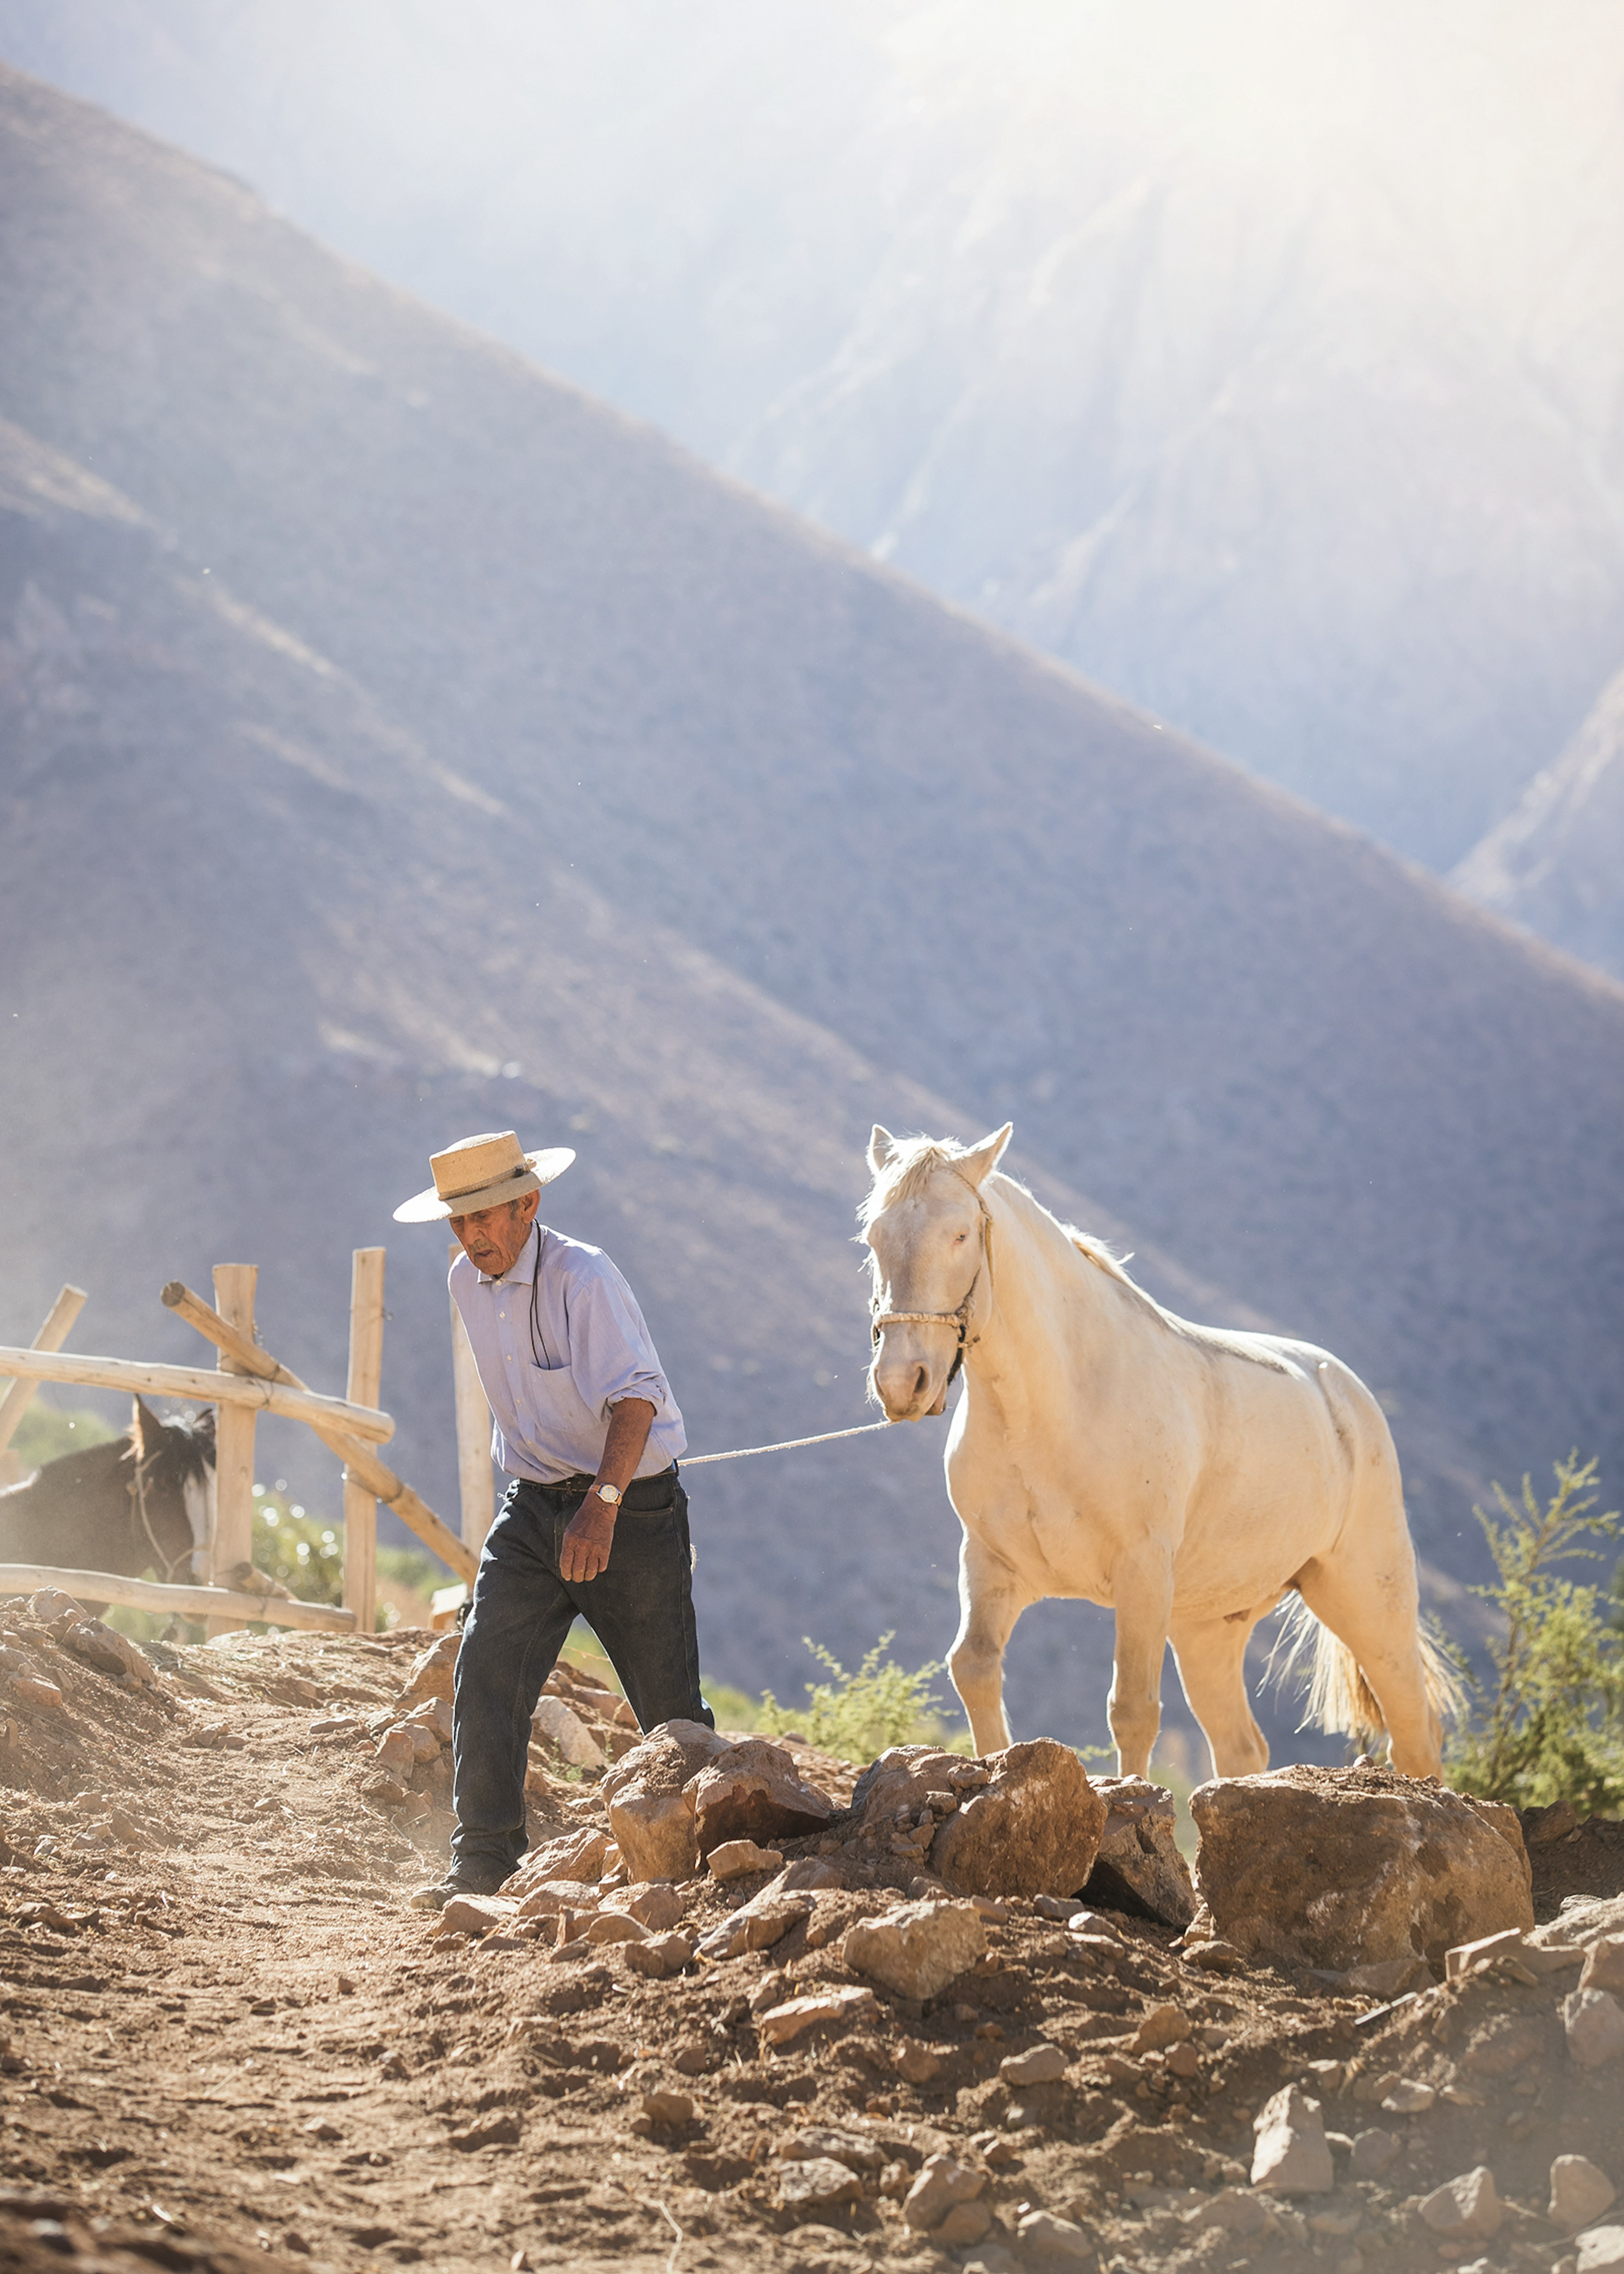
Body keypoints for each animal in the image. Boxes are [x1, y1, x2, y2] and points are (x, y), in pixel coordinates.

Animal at [869, 1128, 1446, 1782]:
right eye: (874, 1237)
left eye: (961, 1233)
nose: (902, 1382)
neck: (1057, 1404)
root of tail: (1346, 1392)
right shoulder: (992, 1565)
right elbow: (975, 1668)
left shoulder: (1142, 1573)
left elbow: (1133, 1711)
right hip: (1207, 1630)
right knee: (1242, 1747)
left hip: (1369, 1601)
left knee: (1416, 1733)